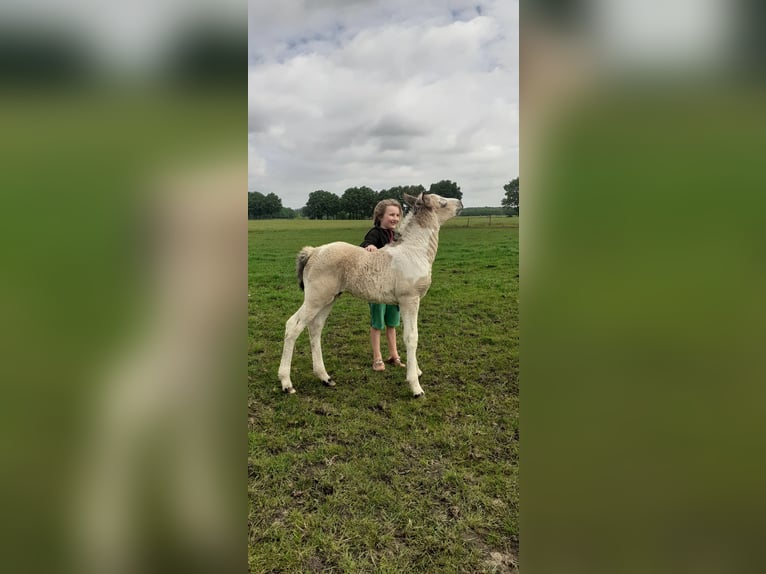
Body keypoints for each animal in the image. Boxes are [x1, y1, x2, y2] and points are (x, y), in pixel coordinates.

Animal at [278, 191, 463, 397]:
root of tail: (313, 252)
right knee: (293, 326)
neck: (414, 252)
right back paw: (286, 383)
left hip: (329, 299)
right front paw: (415, 386)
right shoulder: (410, 300)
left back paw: (325, 377)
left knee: (315, 328)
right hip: (315, 298)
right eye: (442, 202)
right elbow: (411, 337)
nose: (460, 203)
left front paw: (416, 371)